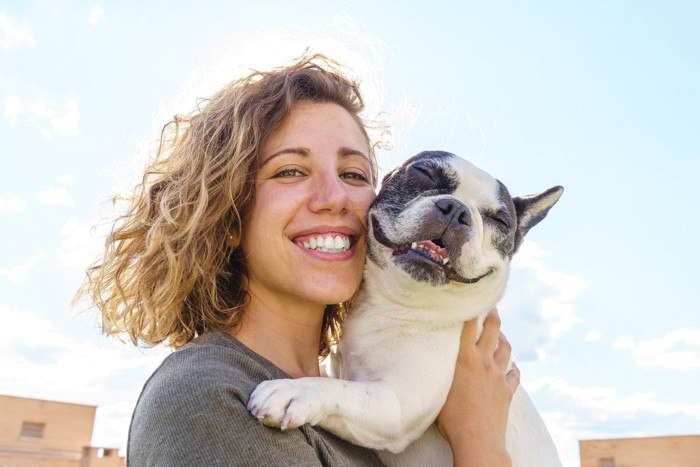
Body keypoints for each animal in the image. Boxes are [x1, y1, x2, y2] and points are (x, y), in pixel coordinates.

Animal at [249, 152, 568, 466]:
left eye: (499, 220)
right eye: (423, 173)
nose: (456, 210)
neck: (396, 304)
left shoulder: (397, 404)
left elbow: (340, 391)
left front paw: (294, 390)